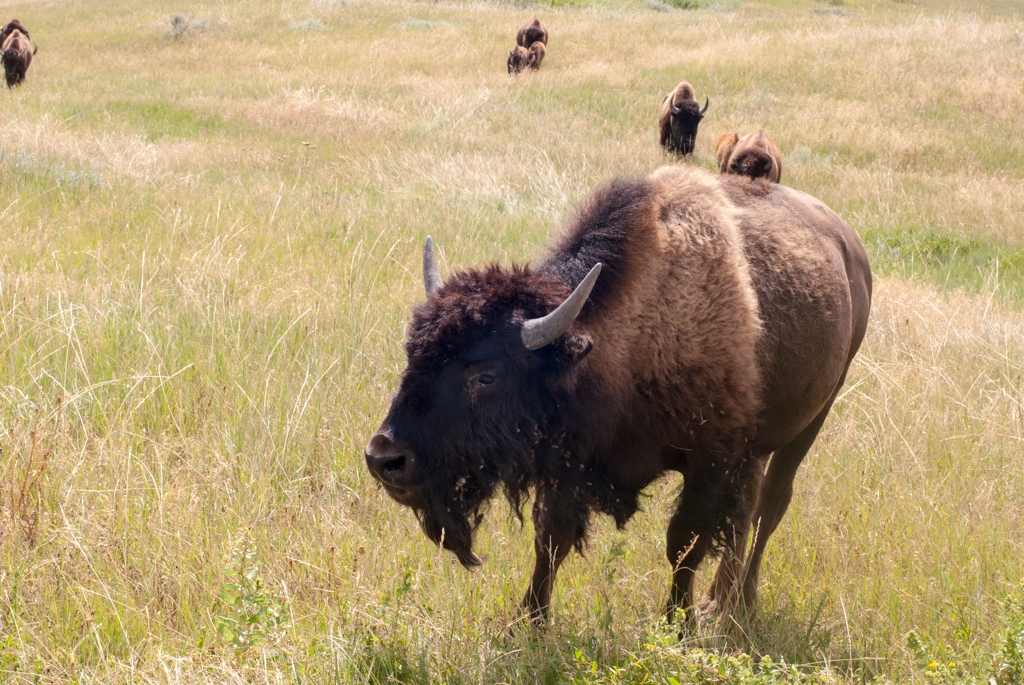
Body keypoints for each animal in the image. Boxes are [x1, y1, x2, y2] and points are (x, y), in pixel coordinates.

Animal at [365, 165, 871, 625]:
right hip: (759, 443)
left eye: (485, 376)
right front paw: (528, 624)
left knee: (769, 507)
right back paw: (717, 602)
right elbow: (551, 541)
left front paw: (677, 625)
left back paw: (738, 605)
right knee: (746, 514)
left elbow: (684, 543)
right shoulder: (567, 461)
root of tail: (852, 250)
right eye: (412, 351)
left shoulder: (711, 462)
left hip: (812, 418)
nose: (383, 458)